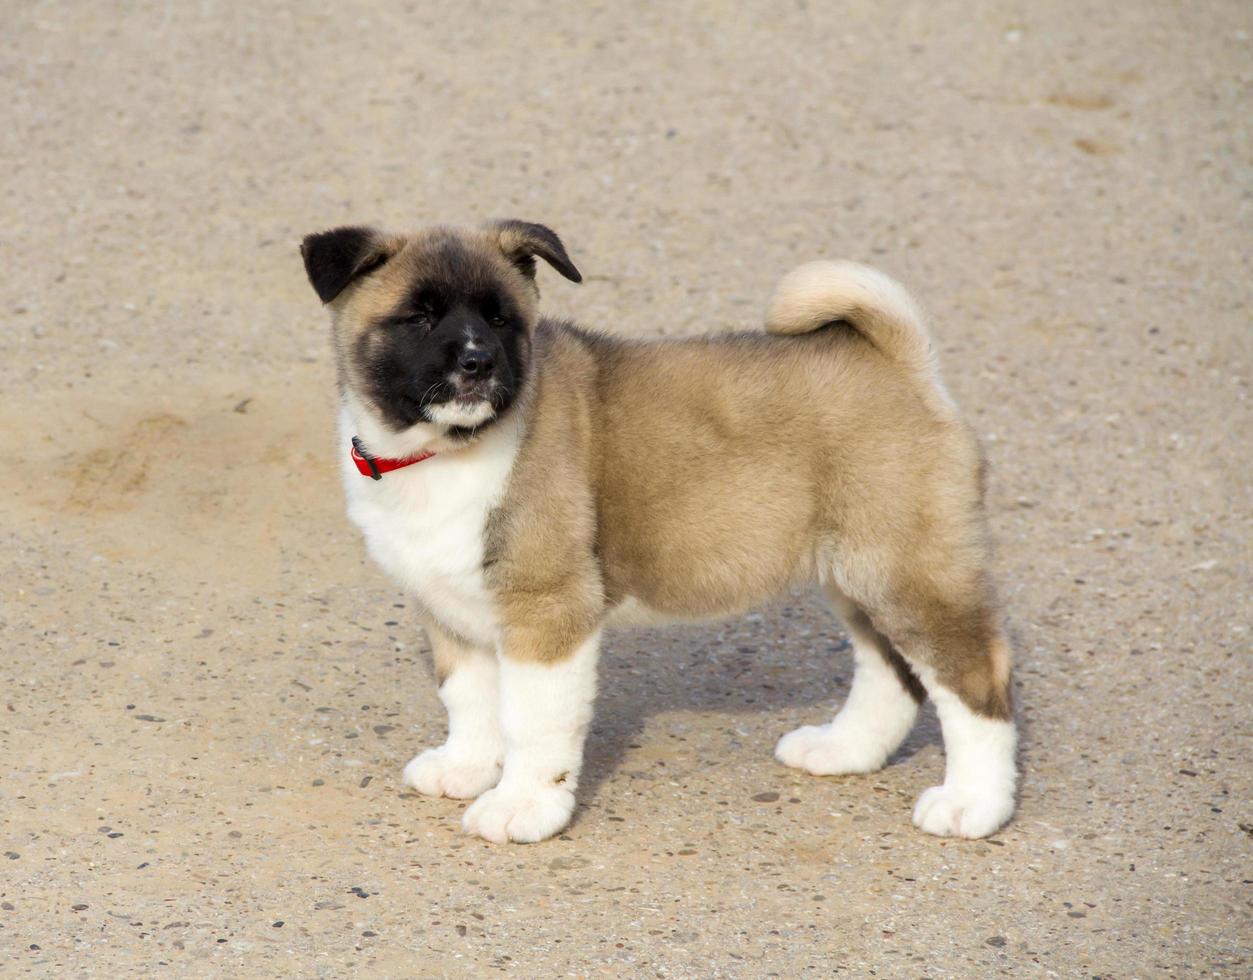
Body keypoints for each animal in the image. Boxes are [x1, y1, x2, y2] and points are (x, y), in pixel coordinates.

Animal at [300, 220, 1017, 842]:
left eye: (502, 320)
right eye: (419, 318)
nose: (478, 363)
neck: (441, 453)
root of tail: (899, 362)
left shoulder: (546, 613)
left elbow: (531, 721)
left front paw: (523, 806)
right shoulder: (450, 609)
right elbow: (469, 699)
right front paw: (467, 767)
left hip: (908, 572)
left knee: (975, 679)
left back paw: (973, 804)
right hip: (857, 570)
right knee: (891, 670)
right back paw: (845, 749)